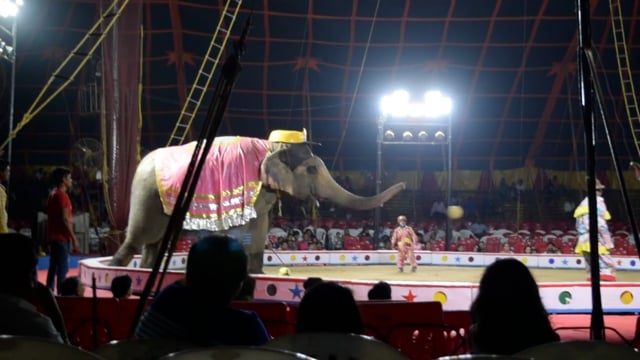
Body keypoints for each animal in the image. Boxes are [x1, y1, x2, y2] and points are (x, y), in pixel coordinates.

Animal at [107, 131, 402, 274]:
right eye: (311, 169)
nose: (403, 186)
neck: (272, 148)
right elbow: (247, 226)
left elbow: (260, 225)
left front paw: (259, 273)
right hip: (146, 193)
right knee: (142, 233)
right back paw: (114, 267)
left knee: (154, 240)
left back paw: (145, 268)